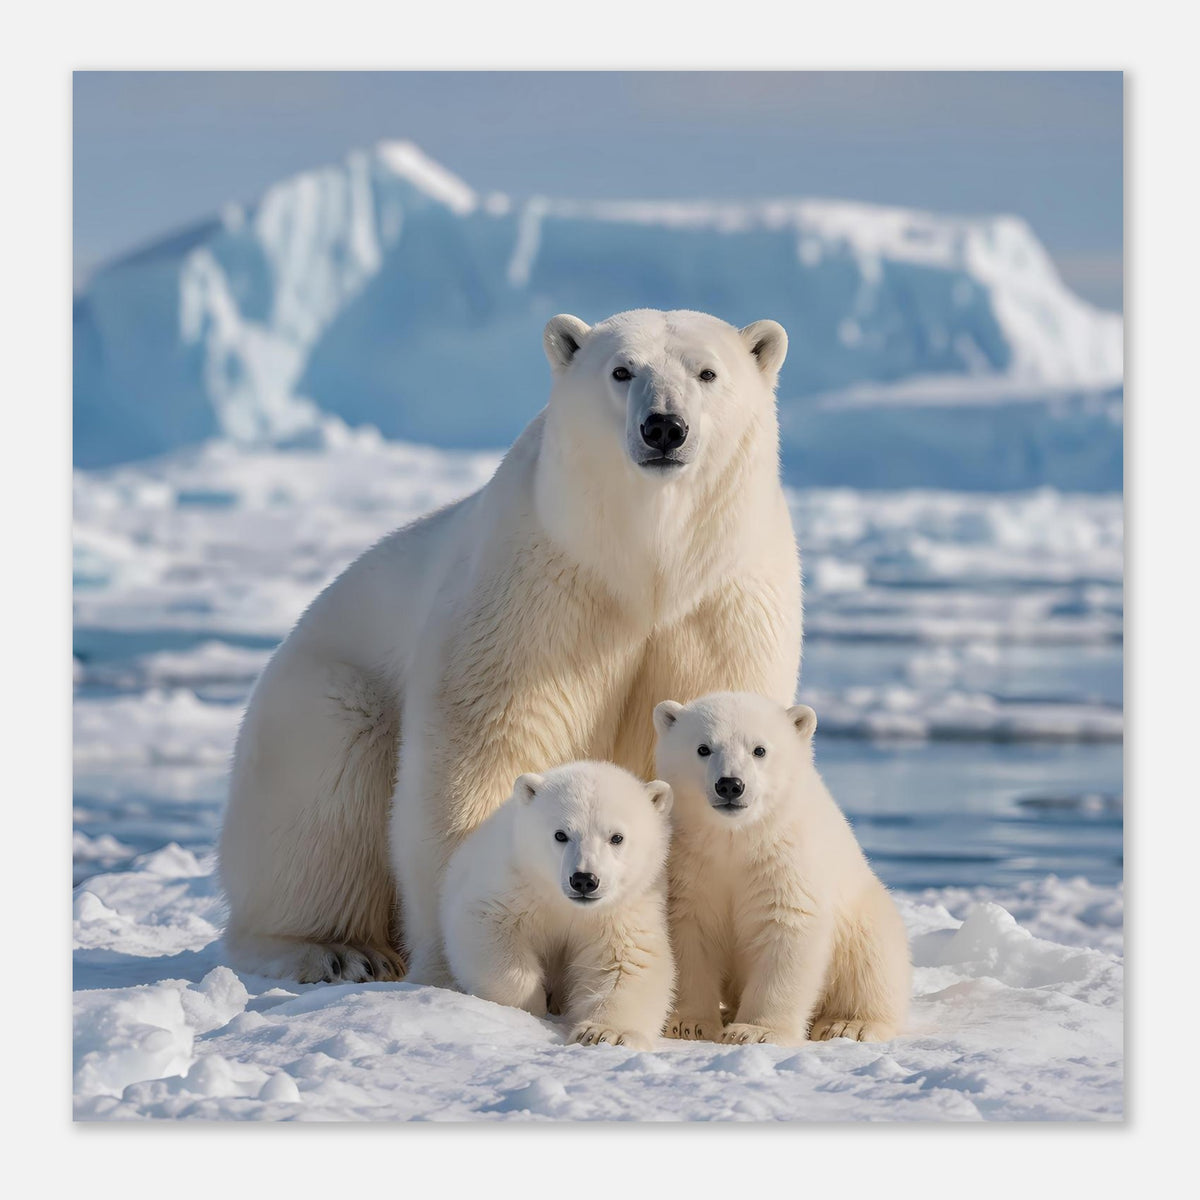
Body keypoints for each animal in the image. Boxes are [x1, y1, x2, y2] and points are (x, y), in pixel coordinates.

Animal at [219, 308, 802, 986]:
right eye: (621, 370)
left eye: (707, 372)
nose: (663, 427)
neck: (645, 566)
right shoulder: (537, 591)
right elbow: (488, 742)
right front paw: (463, 959)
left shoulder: (723, 606)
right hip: (313, 700)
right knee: (327, 784)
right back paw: (337, 950)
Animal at [440, 761, 675, 1049]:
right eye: (561, 834)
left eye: (617, 837)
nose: (584, 880)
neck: (567, 906)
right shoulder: (513, 885)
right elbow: (488, 928)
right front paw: (531, 1006)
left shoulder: (623, 911)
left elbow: (628, 962)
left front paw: (602, 1033)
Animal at [652, 692, 911, 1045]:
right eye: (703, 748)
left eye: (759, 749)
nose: (730, 785)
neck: (737, 838)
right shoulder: (690, 864)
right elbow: (690, 933)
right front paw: (689, 1024)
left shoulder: (787, 859)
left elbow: (786, 926)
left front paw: (755, 1031)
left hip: (865, 916)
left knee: (872, 961)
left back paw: (849, 1024)